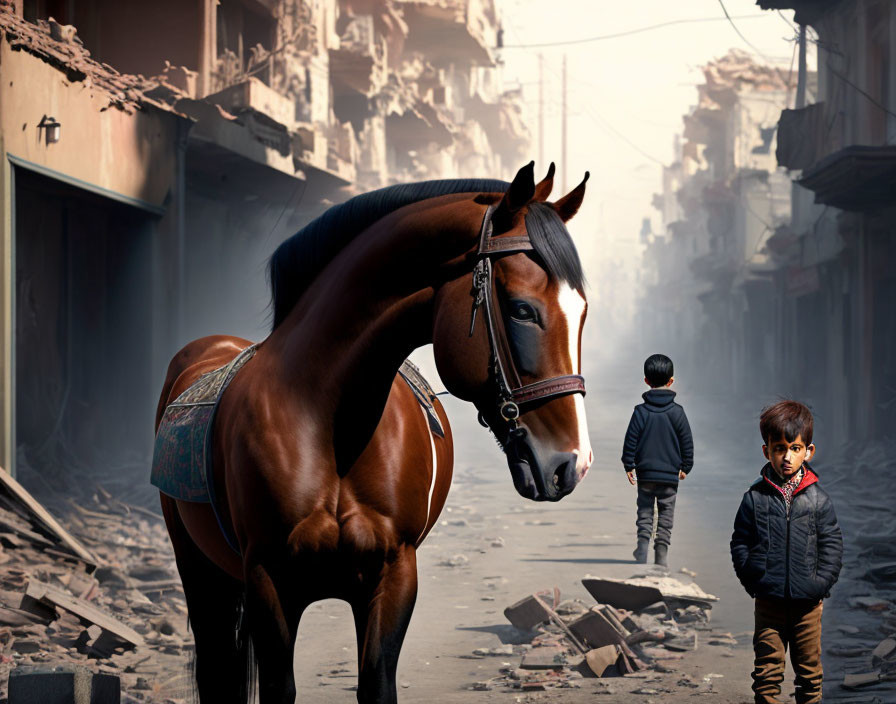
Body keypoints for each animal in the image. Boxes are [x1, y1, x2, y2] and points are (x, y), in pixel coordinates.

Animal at [157, 162, 592, 700]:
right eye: (521, 309)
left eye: (582, 311)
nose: (572, 463)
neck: (330, 427)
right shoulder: (267, 579)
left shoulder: (394, 573)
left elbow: (377, 683)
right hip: (199, 572)